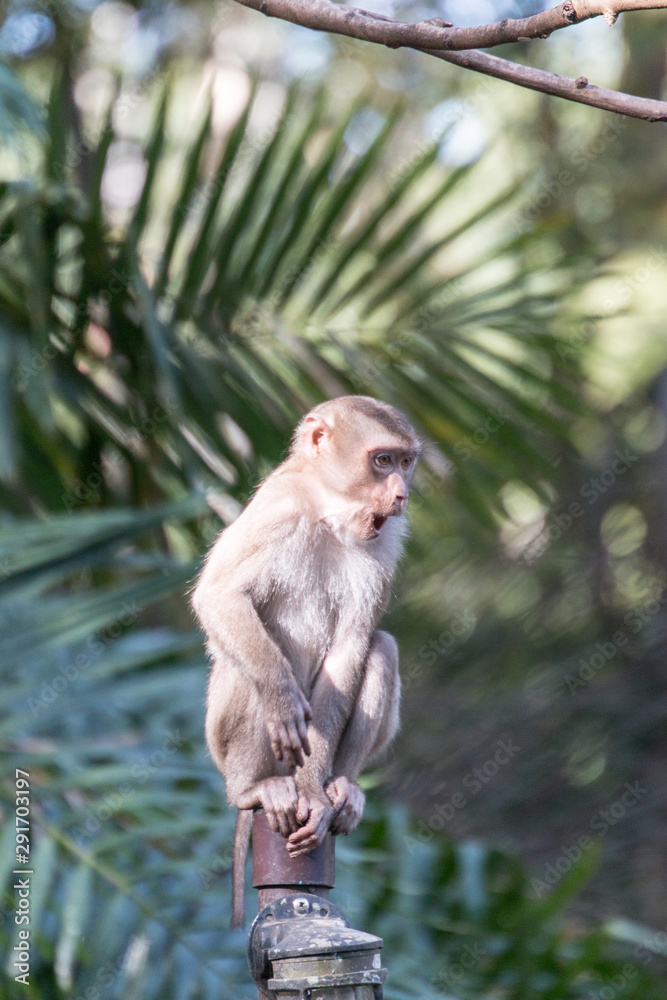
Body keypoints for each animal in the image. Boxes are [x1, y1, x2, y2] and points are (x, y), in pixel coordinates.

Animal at [191, 395, 421, 927]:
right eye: (382, 461)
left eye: (405, 462)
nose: (401, 495)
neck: (328, 513)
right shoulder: (280, 506)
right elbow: (220, 596)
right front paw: (281, 698)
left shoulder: (386, 541)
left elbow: (353, 645)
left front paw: (316, 793)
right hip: (224, 742)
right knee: (252, 662)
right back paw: (252, 789)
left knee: (381, 649)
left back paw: (341, 788)